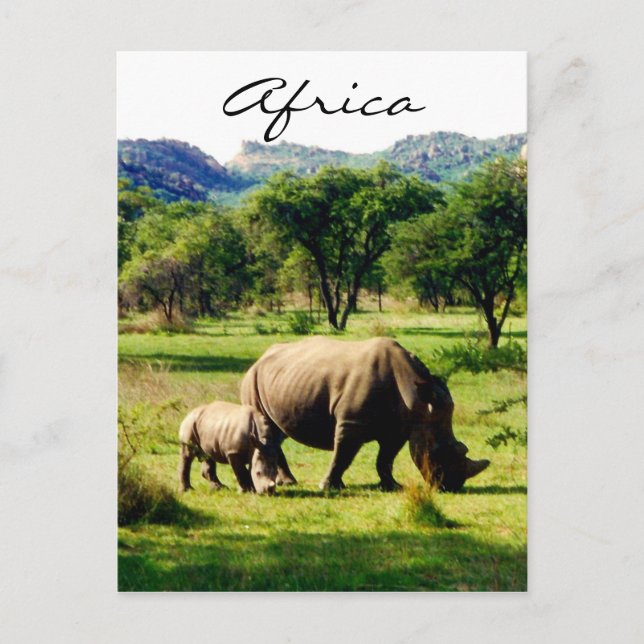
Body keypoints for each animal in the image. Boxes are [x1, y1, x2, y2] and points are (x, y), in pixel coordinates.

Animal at [240, 336, 490, 492]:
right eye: (438, 451)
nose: (453, 485)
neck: (417, 399)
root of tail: (259, 359)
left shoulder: (398, 428)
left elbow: (385, 459)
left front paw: (392, 486)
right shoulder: (351, 423)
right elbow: (343, 456)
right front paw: (328, 487)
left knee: (278, 432)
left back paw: (288, 481)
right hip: (252, 379)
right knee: (267, 428)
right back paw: (290, 483)